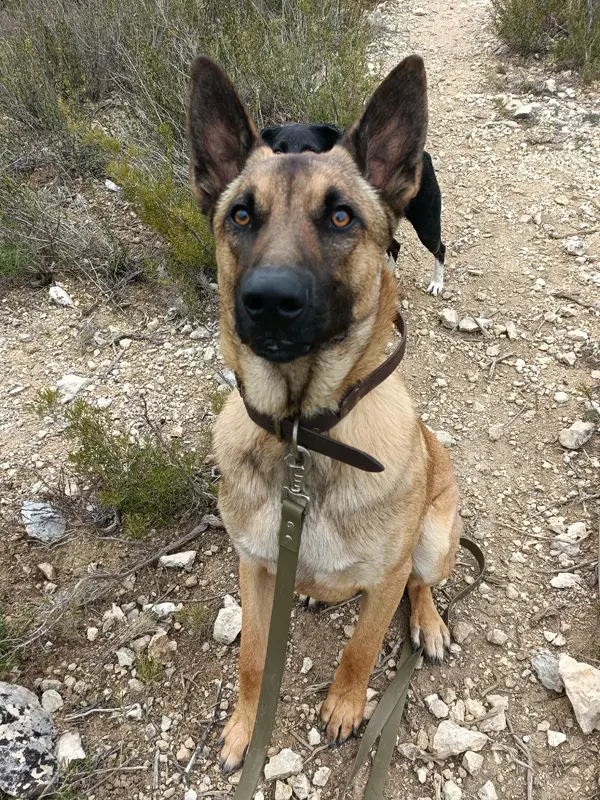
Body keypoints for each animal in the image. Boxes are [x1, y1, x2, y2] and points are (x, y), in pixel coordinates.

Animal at [262, 125, 446, 296]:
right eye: (277, 151)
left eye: (312, 152)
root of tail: (424, 154)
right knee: (395, 246)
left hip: (426, 225)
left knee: (440, 249)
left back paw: (437, 283)